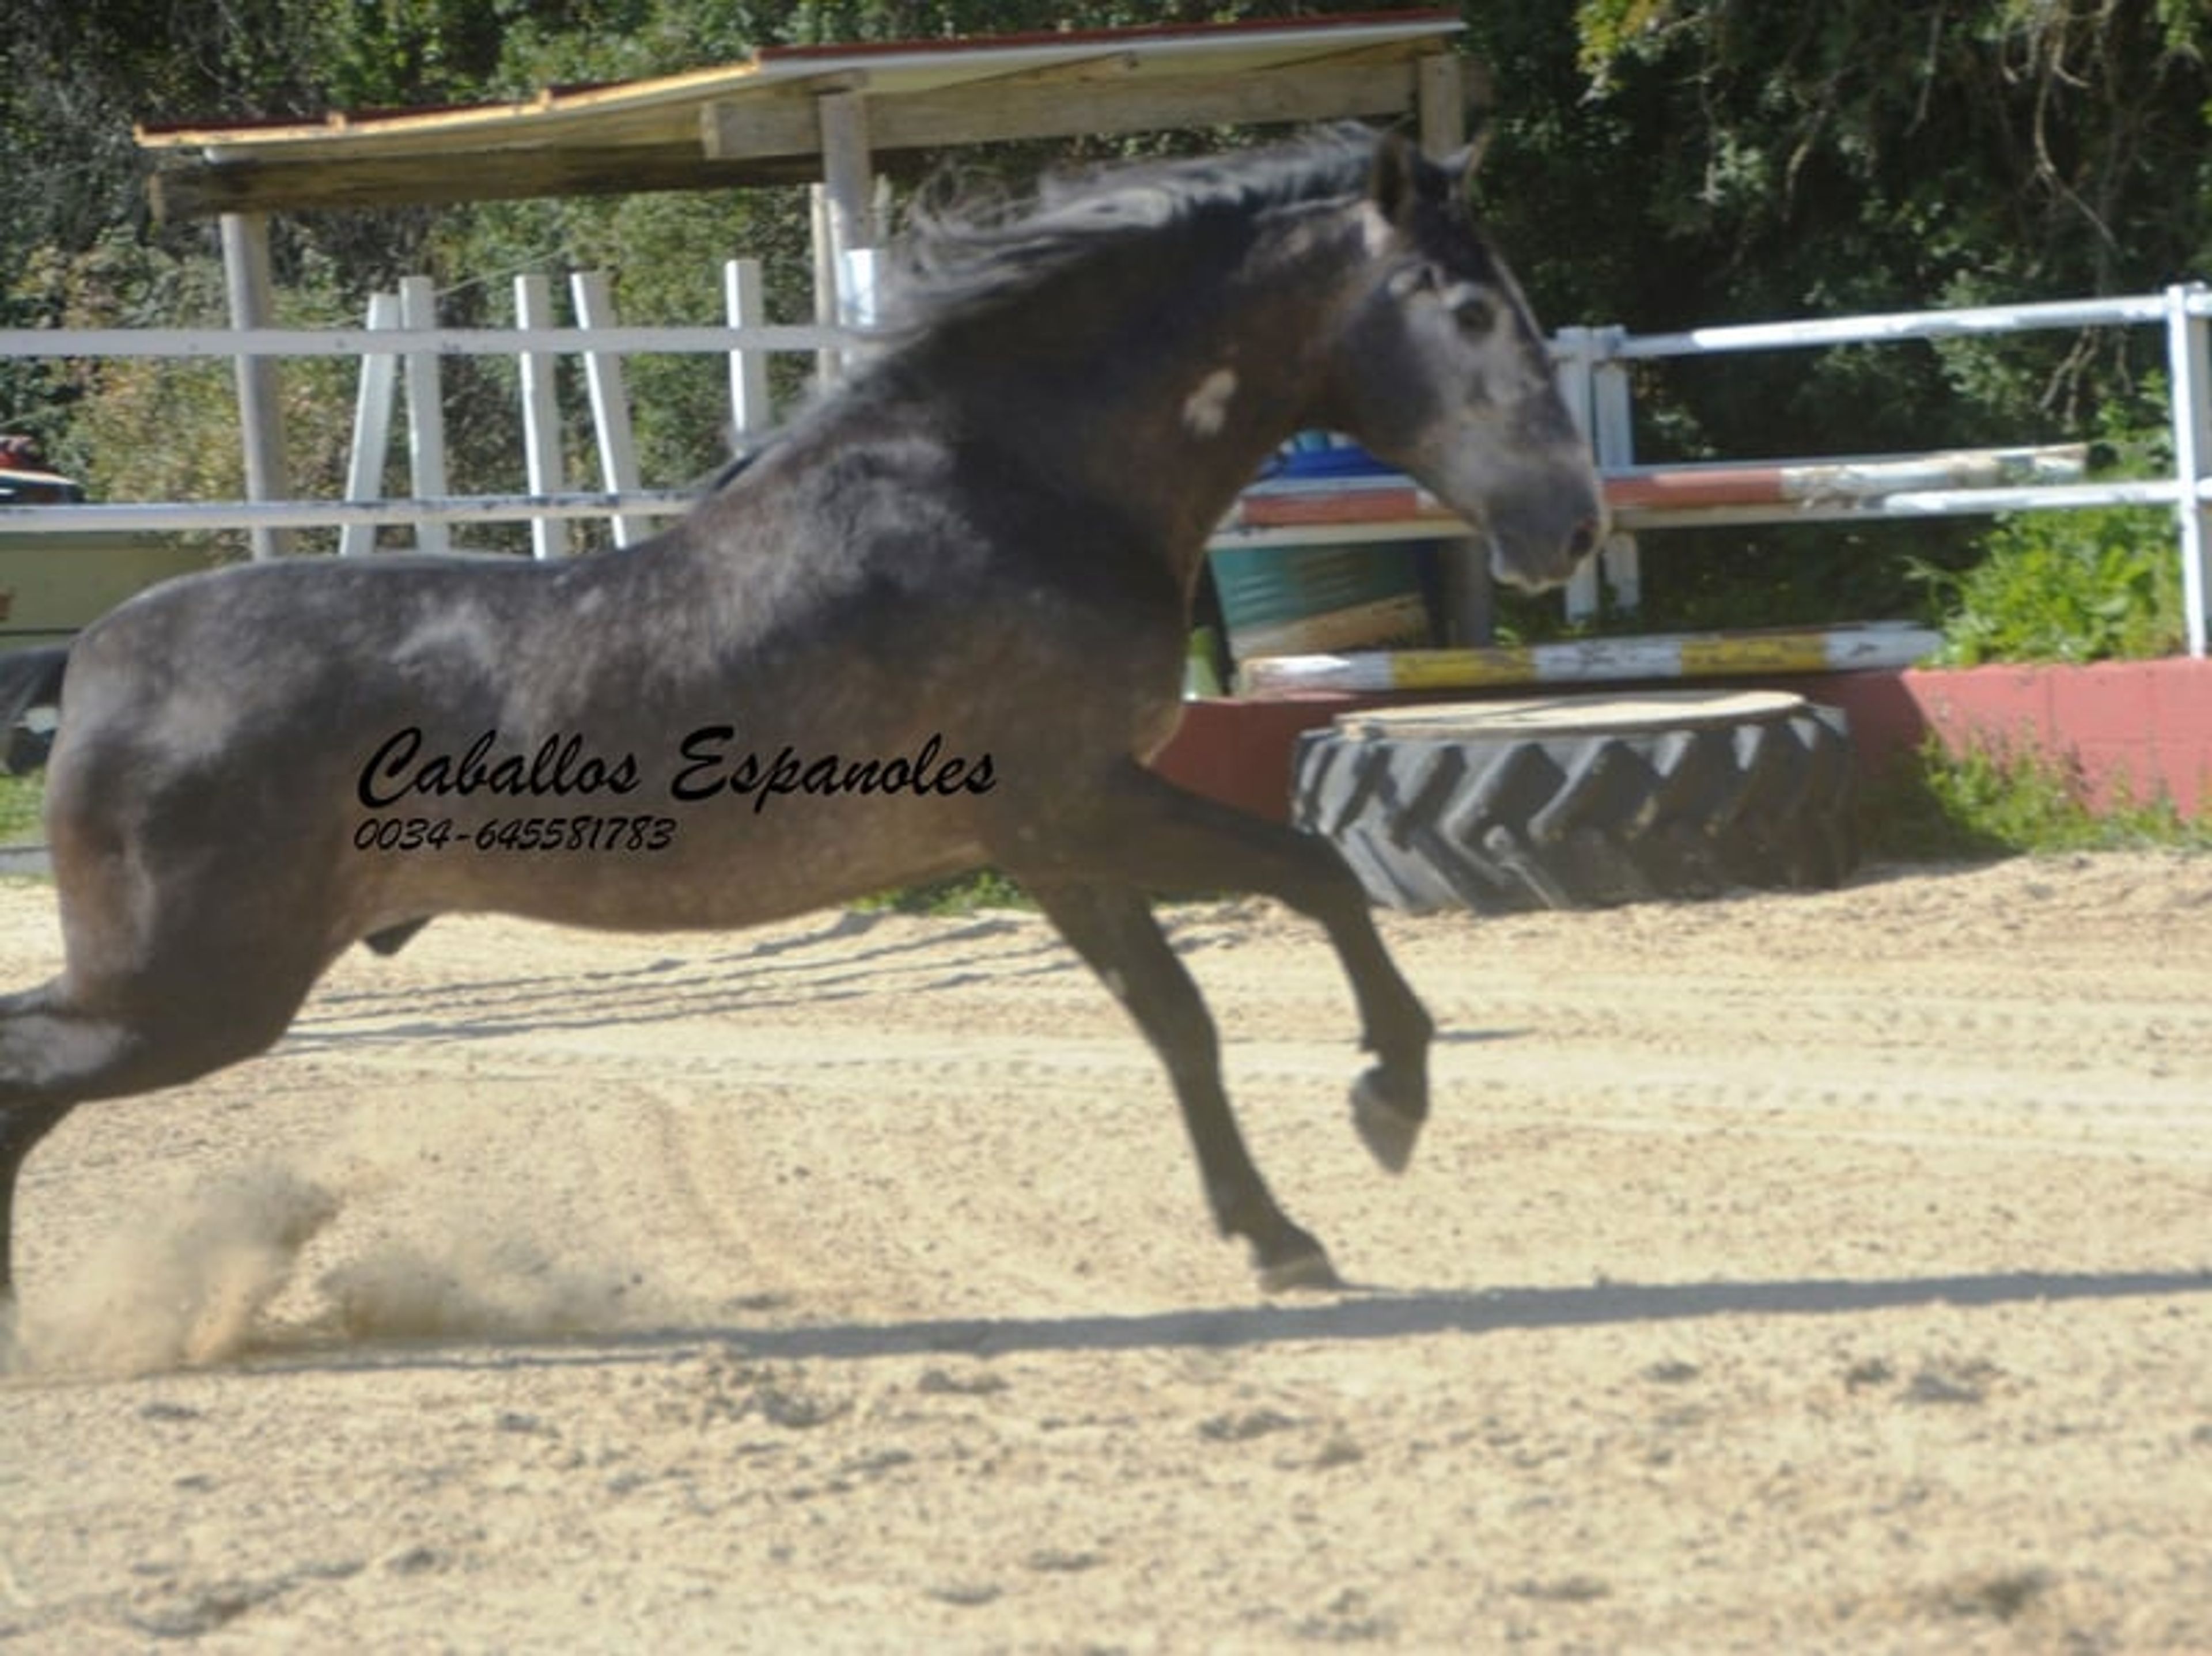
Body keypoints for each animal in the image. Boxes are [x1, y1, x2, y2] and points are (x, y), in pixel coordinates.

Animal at [0, 126, 1603, 1324]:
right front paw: (1368, 1128)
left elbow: (1213, 986)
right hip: (193, 991)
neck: (1014, 485)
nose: (1568, 527)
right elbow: (1274, 918)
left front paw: (1301, 1205)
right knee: (26, 1071)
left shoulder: (1071, 834)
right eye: (1466, 308)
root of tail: (95, 662)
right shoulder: (1076, 809)